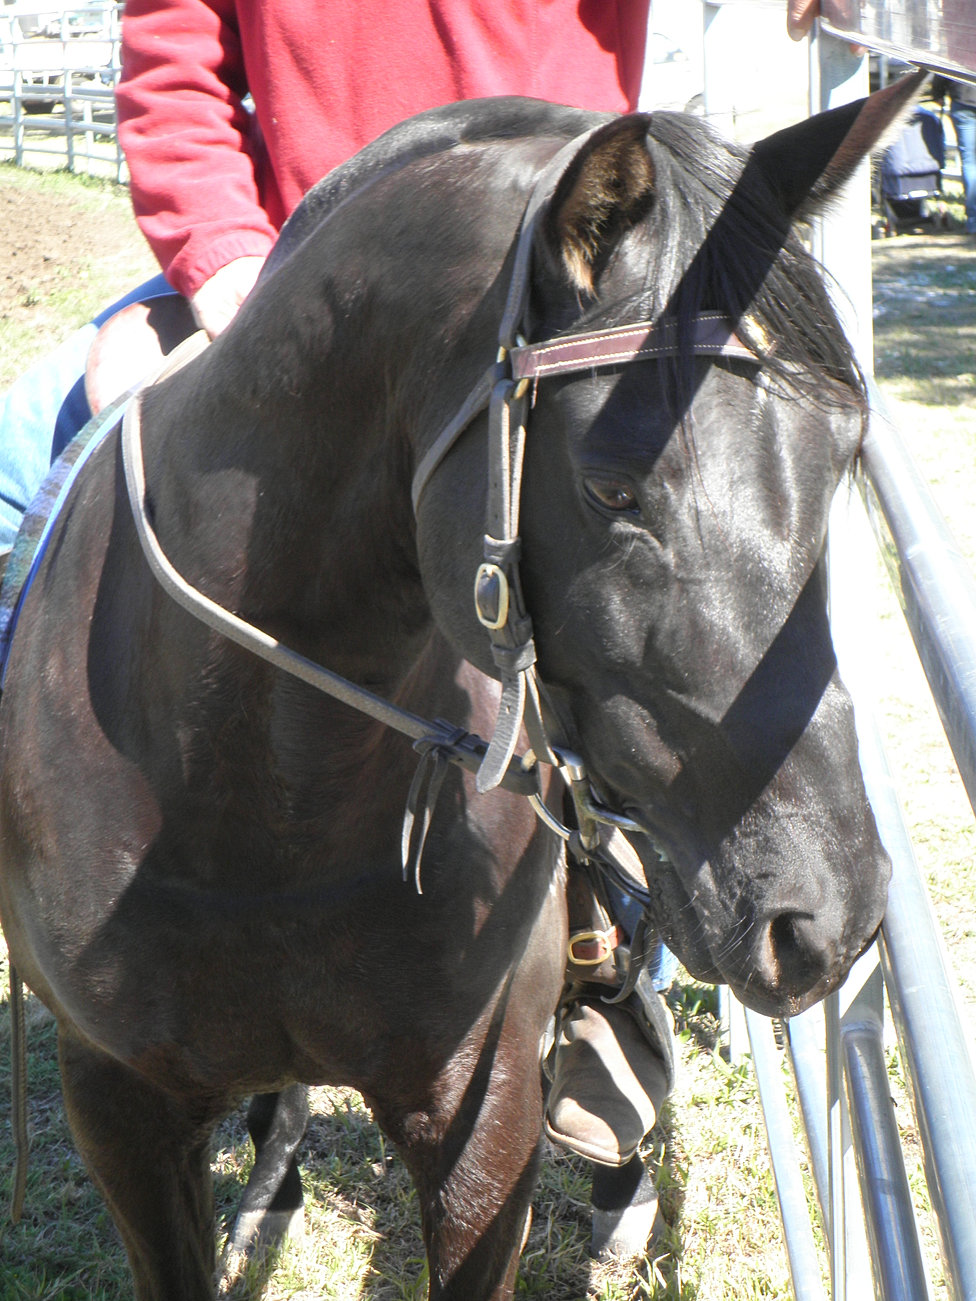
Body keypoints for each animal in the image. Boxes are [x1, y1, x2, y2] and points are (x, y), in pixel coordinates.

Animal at [0, 73, 923, 1300]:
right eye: (612, 484)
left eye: (842, 454)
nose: (823, 912)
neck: (253, 793)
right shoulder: (119, 1108)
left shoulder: (482, 1119)